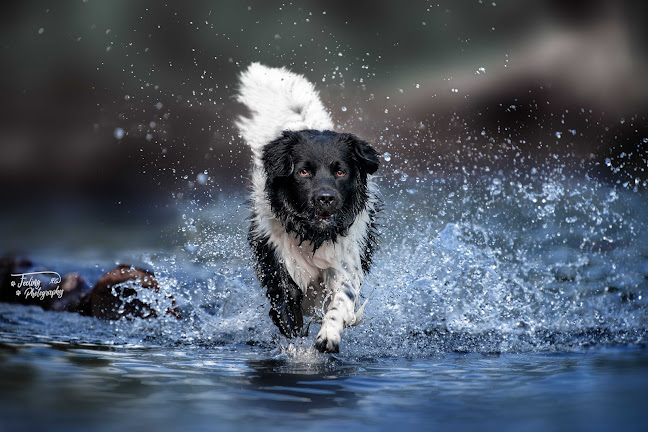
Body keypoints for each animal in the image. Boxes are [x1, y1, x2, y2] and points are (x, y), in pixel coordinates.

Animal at [237, 64, 380, 354]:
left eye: (340, 171)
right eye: (303, 172)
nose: (325, 198)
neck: (314, 234)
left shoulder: (346, 265)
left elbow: (341, 302)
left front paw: (329, 335)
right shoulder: (277, 266)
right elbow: (287, 313)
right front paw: (297, 346)